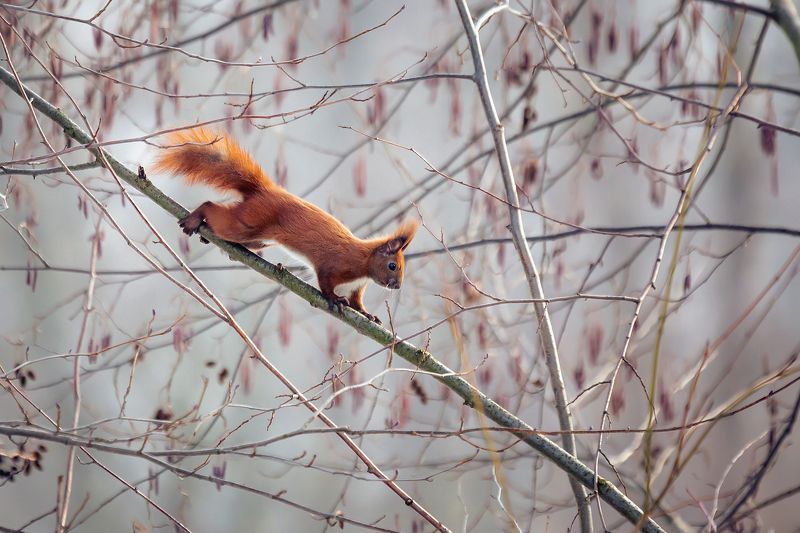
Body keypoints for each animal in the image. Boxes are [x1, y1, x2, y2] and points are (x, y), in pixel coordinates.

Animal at [153, 128, 418, 324]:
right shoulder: (336, 264)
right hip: (249, 222)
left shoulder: (356, 288)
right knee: (214, 210)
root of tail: (264, 190)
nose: (396, 286)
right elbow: (325, 281)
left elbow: (357, 303)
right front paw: (334, 299)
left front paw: (367, 314)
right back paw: (196, 218)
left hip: (259, 238)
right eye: (393, 265)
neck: (364, 262)